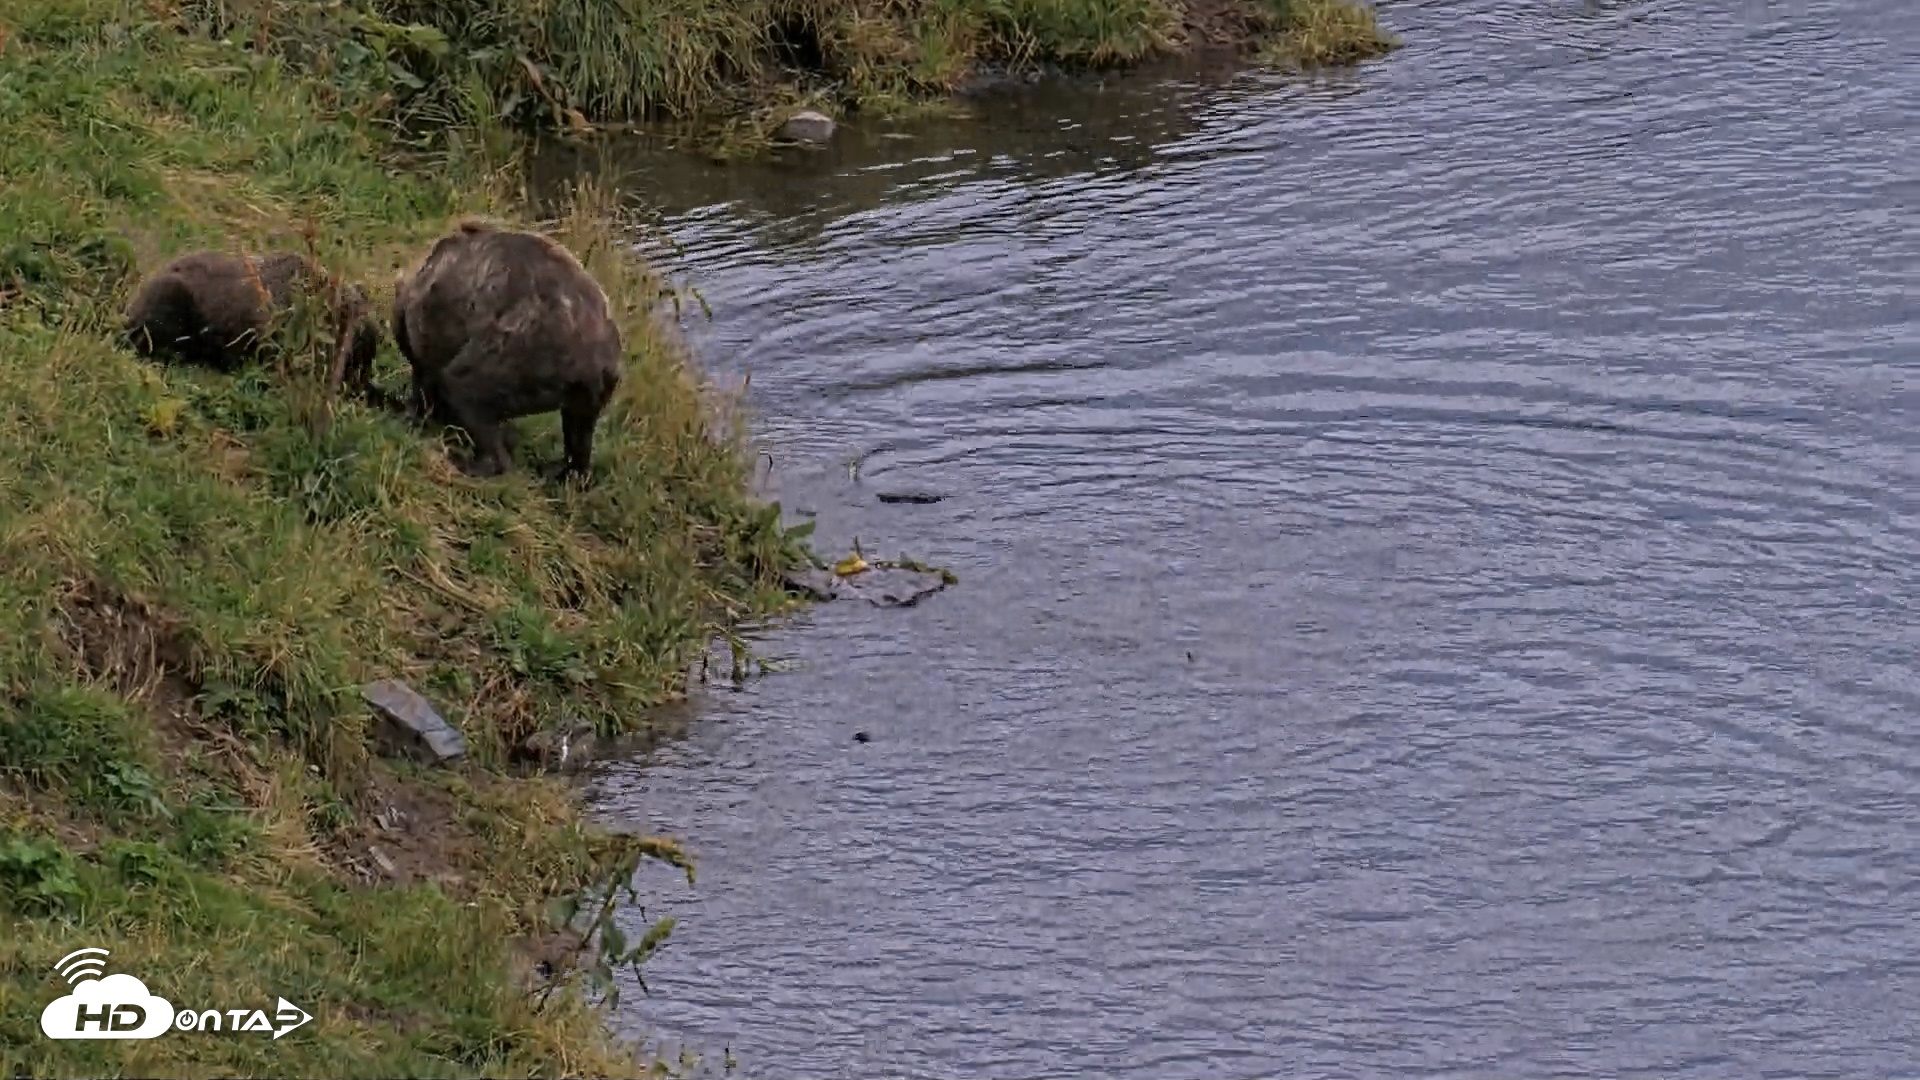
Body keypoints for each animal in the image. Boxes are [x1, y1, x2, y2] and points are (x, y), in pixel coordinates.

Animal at [391, 220, 623, 481]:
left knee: (466, 387)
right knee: (579, 429)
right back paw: (564, 471)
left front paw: (414, 413)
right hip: (591, 385)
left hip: (520, 353)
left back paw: (469, 460)